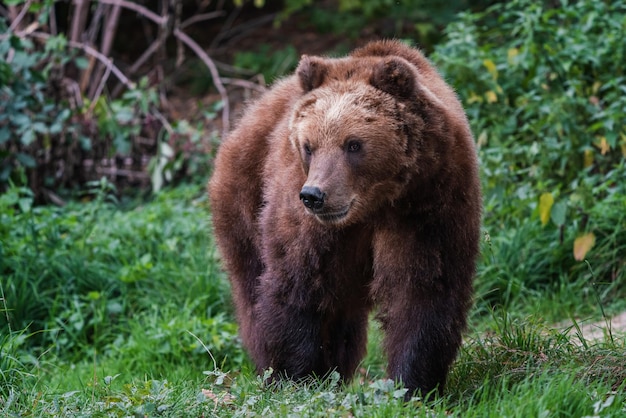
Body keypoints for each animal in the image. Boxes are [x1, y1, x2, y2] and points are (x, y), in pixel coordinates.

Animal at [207, 40, 480, 398]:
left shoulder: (430, 202)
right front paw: (295, 376)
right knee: (254, 286)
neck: (374, 205)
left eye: (353, 144)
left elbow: (424, 287)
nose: (314, 195)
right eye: (308, 146)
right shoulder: (306, 218)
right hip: (244, 198)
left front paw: (413, 384)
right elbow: (299, 283)